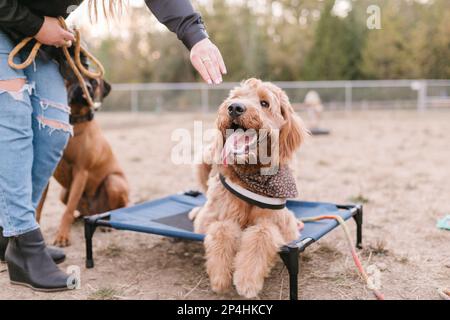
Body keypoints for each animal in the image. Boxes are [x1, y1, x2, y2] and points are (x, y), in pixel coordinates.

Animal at [36, 78, 129, 248]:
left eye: (94, 82)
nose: (86, 87)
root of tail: (95, 212)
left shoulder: (81, 172)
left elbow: (67, 211)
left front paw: (62, 236)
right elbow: (38, 207)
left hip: (114, 181)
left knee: (120, 206)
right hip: (64, 193)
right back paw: (78, 219)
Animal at [190, 77, 310, 298]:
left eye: (264, 103)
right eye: (236, 97)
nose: (234, 108)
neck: (250, 174)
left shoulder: (283, 226)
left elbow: (262, 233)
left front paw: (247, 279)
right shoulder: (213, 218)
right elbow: (221, 228)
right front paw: (220, 275)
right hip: (204, 160)